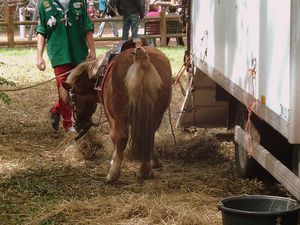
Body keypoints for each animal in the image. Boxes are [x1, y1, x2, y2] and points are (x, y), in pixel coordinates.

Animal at [61, 41, 172, 183]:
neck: (97, 75)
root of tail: (141, 57)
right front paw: (155, 160)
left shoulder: (112, 117)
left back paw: (113, 174)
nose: (76, 125)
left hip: (119, 116)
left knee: (120, 137)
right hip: (156, 113)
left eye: (72, 101)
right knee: (149, 133)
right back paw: (145, 170)